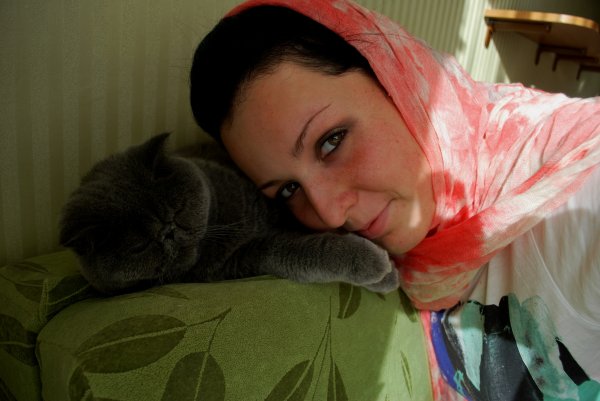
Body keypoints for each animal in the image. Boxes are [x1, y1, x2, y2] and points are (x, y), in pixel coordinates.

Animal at [59, 133, 399, 295]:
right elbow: (300, 249)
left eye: (178, 210)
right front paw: (376, 266)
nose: (168, 232)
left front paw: (389, 273)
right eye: (139, 245)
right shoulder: (244, 259)